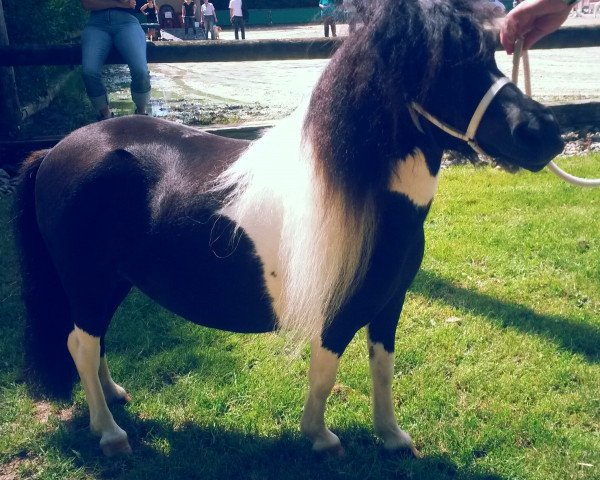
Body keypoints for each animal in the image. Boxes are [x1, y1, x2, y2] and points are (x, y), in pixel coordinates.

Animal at [16, 0, 564, 458]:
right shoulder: (338, 314)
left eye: (491, 56)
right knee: (82, 345)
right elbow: (324, 372)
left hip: (111, 282)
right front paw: (321, 438)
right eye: (442, 67)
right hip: (87, 280)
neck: (371, 199)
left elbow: (382, 368)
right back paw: (110, 433)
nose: (545, 134)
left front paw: (392, 436)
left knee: (92, 341)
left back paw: (114, 398)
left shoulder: (389, 304)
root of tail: (55, 150)